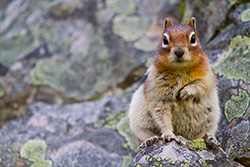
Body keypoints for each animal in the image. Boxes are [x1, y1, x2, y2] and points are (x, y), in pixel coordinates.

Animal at [129, 17, 221, 147]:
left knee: (204, 133)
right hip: (138, 124)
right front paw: (169, 134)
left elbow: (202, 84)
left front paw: (185, 91)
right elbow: (161, 115)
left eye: (193, 38)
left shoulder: (208, 74)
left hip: (211, 121)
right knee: (144, 135)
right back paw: (150, 140)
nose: (179, 52)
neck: (180, 69)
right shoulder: (156, 90)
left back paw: (210, 138)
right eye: (165, 39)